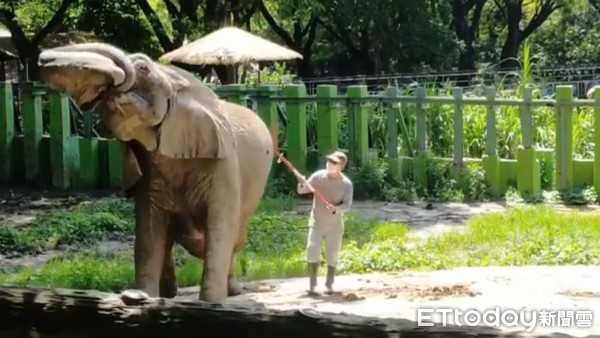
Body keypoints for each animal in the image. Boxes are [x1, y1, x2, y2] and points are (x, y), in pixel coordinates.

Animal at [38, 41, 278, 302]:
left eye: (143, 67)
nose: (41, 59)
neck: (179, 82)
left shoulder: (223, 160)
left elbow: (220, 226)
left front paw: (210, 302)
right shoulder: (149, 168)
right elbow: (149, 227)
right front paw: (138, 296)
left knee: (229, 237)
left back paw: (231, 291)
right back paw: (170, 293)